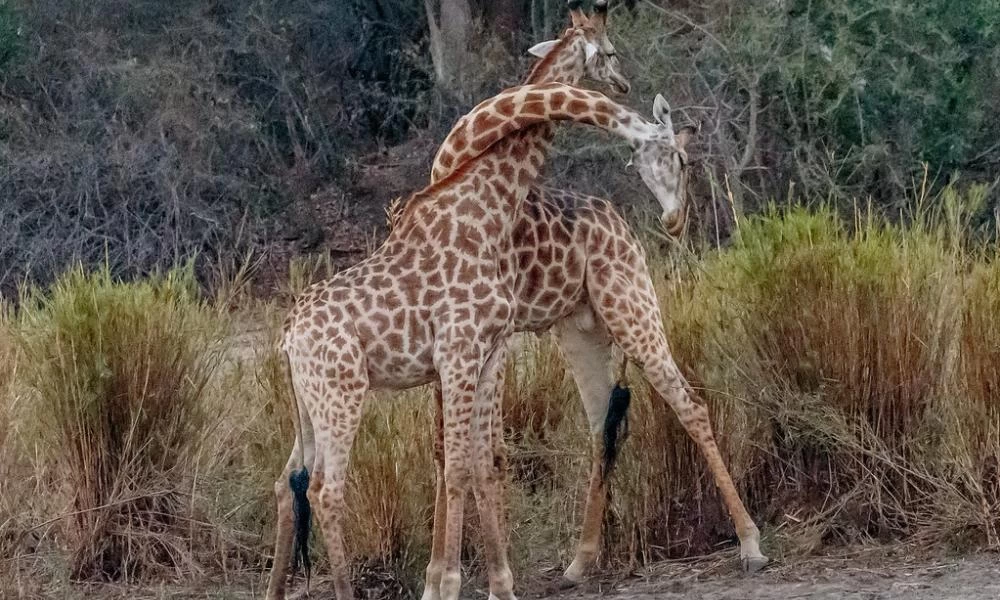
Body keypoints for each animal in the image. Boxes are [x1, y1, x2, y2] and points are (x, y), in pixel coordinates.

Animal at [266, 4, 764, 600]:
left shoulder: (477, 354)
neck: (485, 197)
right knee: (322, 488)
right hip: (343, 395)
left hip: (609, 312)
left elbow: (472, 460)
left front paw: (478, 581)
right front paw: (454, 582)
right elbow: (461, 460)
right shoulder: (461, 354)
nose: (676, 219)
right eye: (679, 158)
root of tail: (287, 336)